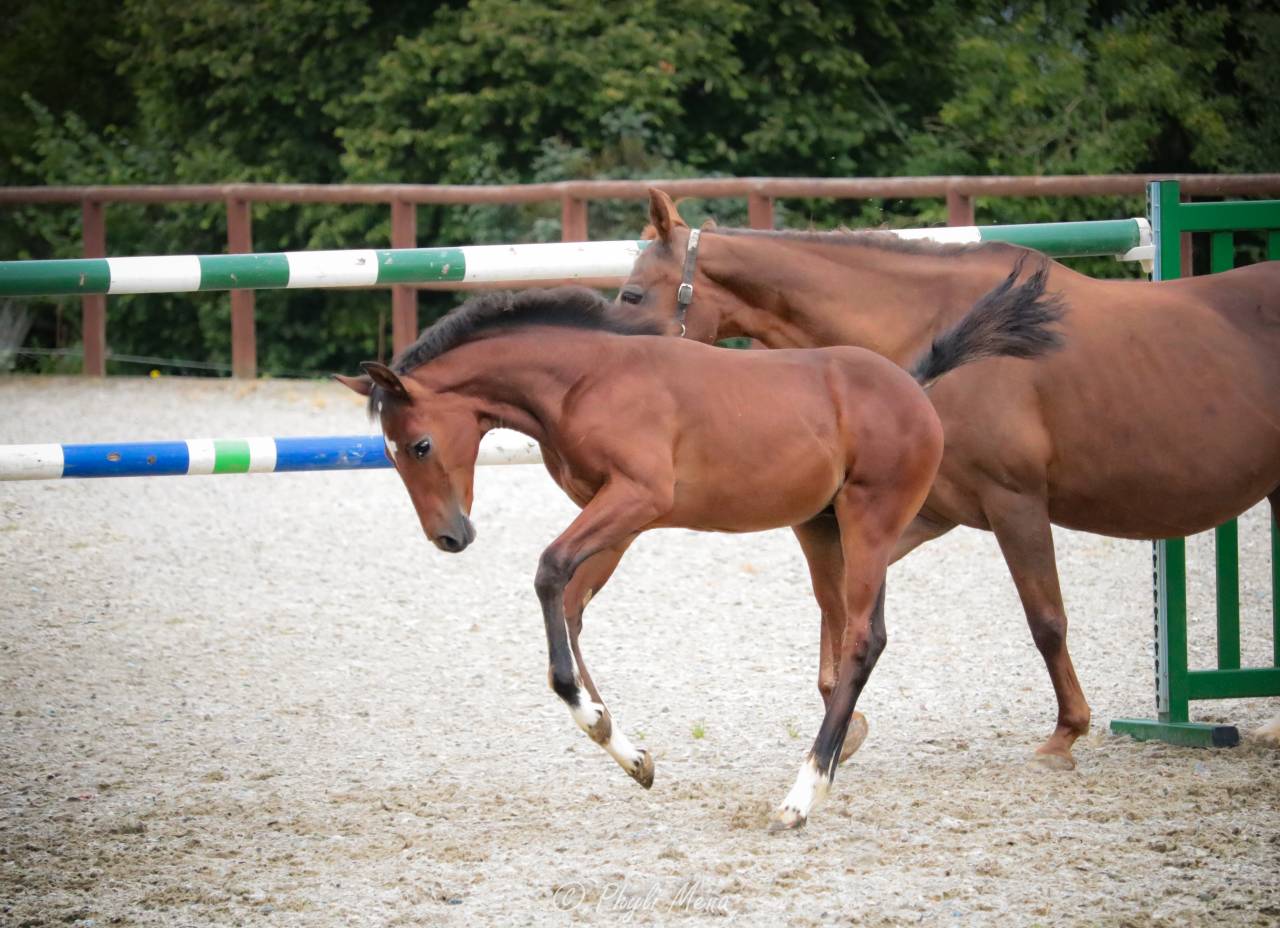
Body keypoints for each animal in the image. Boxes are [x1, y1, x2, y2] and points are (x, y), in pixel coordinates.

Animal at [336, 267, 1064, 830]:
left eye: (420, 445)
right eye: (389, 454)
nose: (449, 537)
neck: (584, 380)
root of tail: (914, 384)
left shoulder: (636, 497)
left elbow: (549, 573)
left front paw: (597, 719)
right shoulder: (618, 515)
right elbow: (570, 604)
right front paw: (623, 747)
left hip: (871, 521)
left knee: (863, 639)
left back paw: (800, 799)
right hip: (822, 529)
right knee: (845, 640)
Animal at [619, 188, 1280, 768]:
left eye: (630, 293)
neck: (939, 333)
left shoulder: (1015, 503)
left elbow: (1047, 620)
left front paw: (1064, 735)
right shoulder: (926, 515)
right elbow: (842, 606)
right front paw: (846, 722)